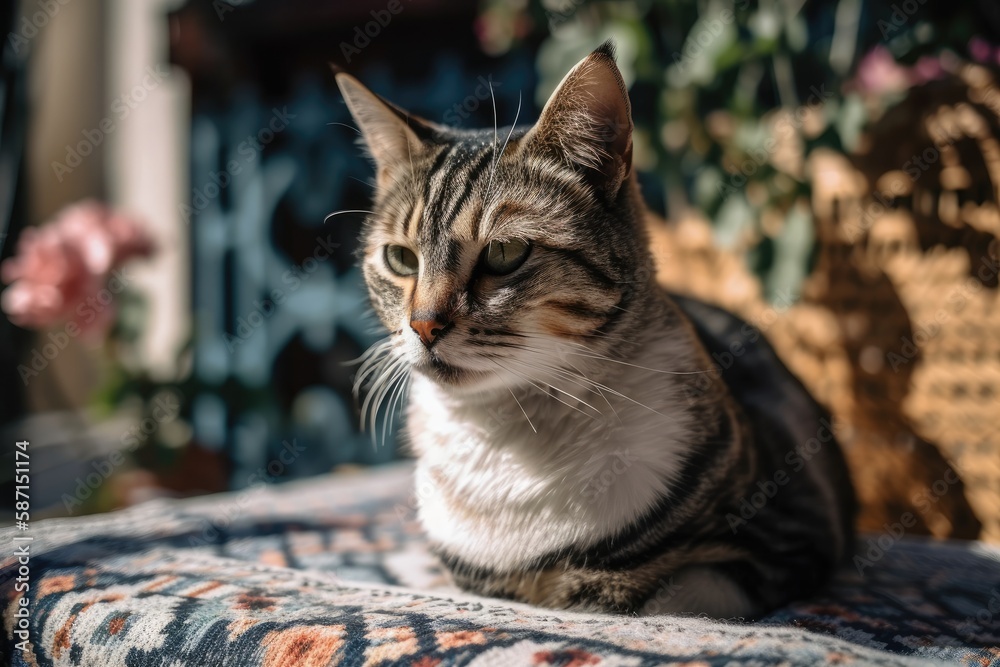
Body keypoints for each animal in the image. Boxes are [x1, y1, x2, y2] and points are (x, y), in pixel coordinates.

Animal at [336, 40, 852, 616]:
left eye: (505, 253)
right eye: (401, 259)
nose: (423, 325)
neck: (511, 437)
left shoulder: (784, 535)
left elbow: (663, 596)